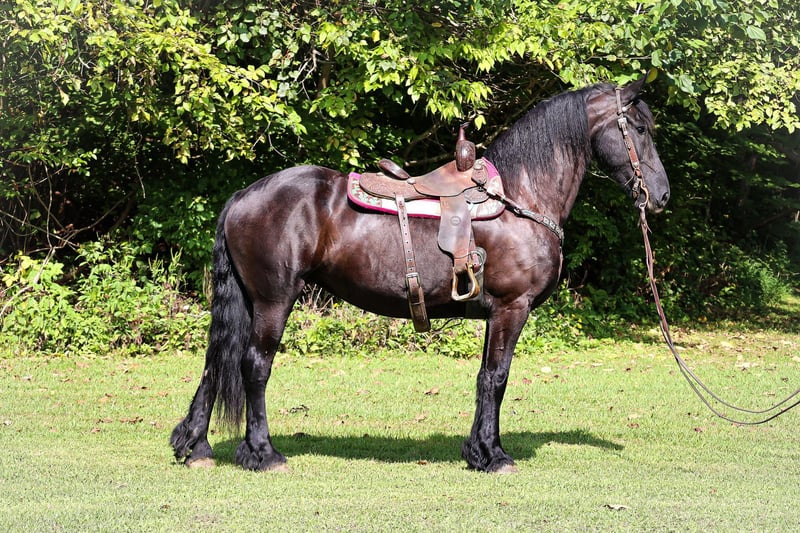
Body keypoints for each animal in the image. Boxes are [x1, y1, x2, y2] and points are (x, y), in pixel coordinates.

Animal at [171, 76, 670, 473]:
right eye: (638, 128)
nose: (661, 195)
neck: (520, 198)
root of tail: (244, 196)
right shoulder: (512, 308)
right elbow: (498, 378)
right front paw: (495, 456)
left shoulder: (494, 313)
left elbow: (485, 378)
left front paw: (478, 451)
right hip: (274, 300)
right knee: (254, 365)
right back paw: (263, 453)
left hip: (249, 301)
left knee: (218, 362)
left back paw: (195, 447)